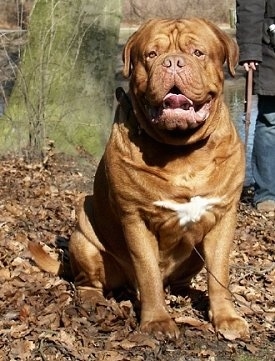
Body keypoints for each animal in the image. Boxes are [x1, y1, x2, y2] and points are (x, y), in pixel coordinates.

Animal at [29, 16, 250, 338]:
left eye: (197, 53)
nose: (173, 62)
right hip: (84, 235)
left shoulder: (223, 215)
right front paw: (157, 321)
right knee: (88, 280)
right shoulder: (136, 218)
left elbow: (219, 272)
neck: (181, 151)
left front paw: (226, 317)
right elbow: (148, 274)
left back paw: (184, 292)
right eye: (151, 54)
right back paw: (93, 299)